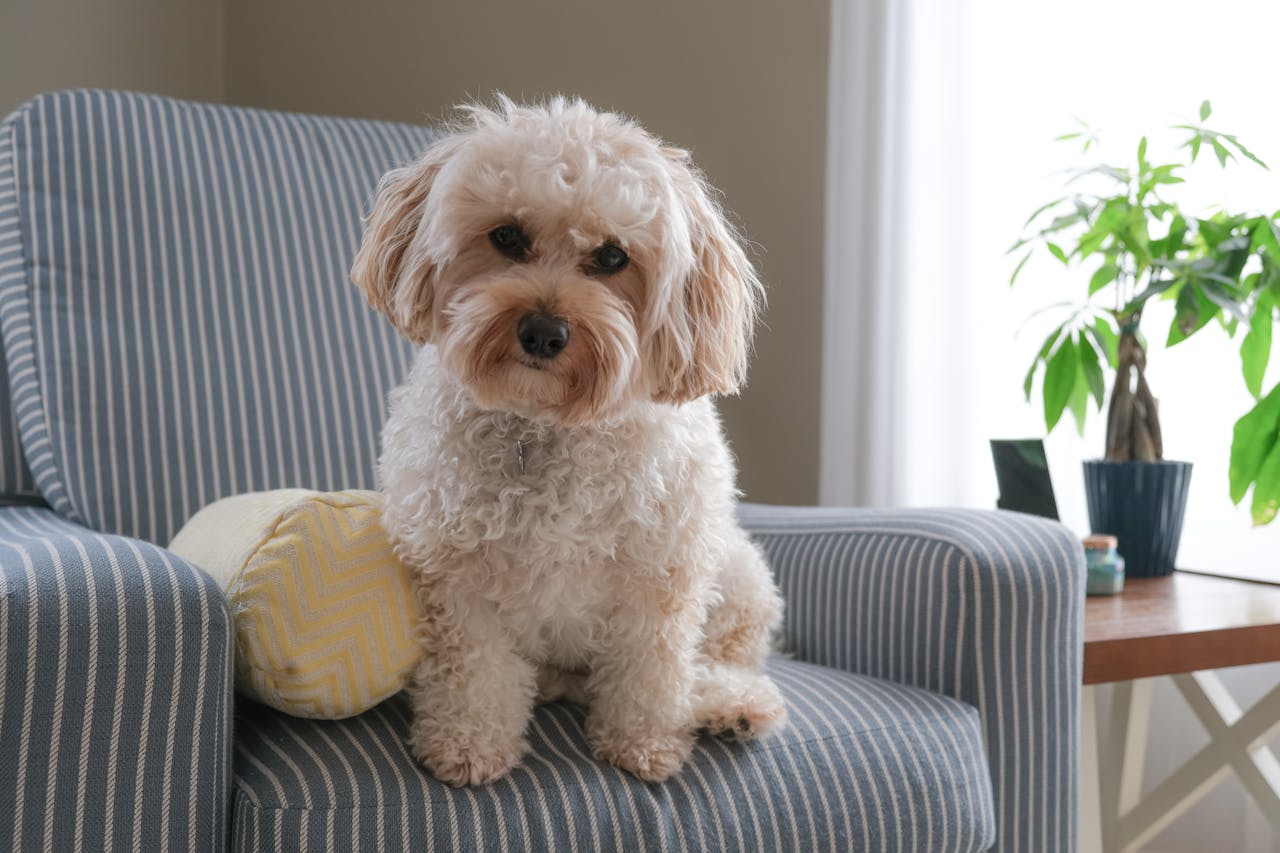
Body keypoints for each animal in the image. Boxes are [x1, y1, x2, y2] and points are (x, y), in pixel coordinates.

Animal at [355, 94, 783, 783]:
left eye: (612, 257)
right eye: (507, 236)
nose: (544, 332)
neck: (549, 425)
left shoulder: (661, 578)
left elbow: (651, 670)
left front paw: (644, 741)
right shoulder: (456, 579)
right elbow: (476, 672)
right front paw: (469, 743)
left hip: (739, 577)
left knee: (718, 661)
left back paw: (730, 706)